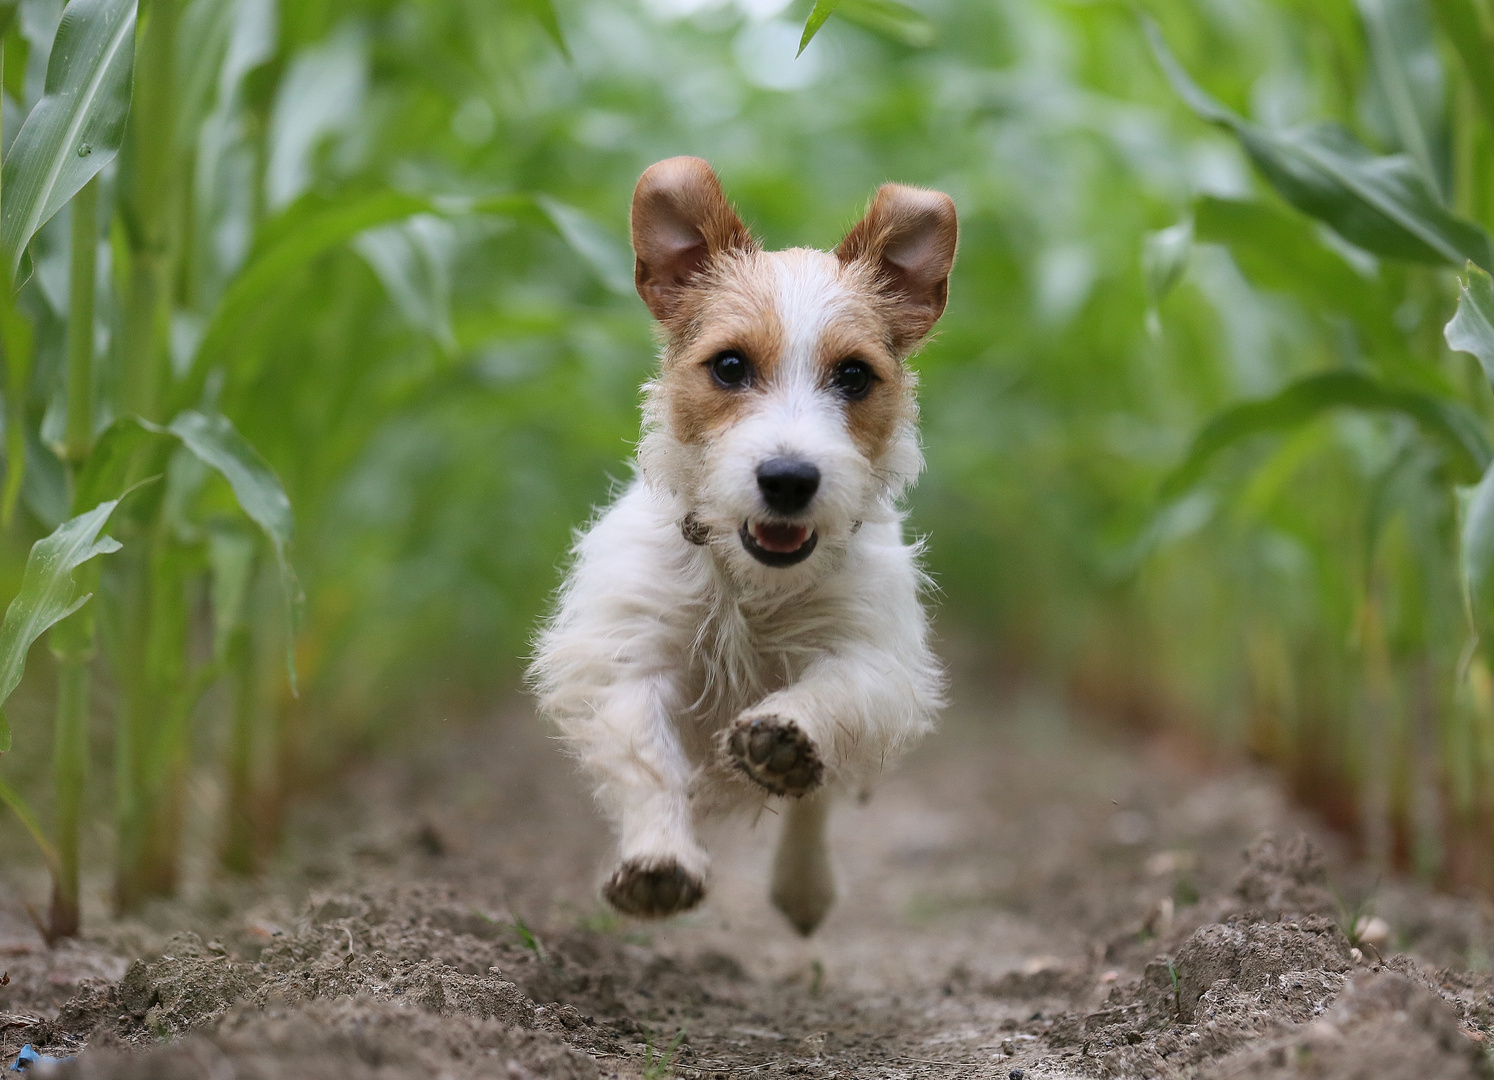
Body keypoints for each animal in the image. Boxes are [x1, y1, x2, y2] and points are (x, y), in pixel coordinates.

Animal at [534, 153, 956, 938]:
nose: (788, 478)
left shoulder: (873, 657)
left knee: (815, 802)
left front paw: (787, 731)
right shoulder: (627, 661)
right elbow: (647, 764)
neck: (747, 584)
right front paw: (659, 860)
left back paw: (803, 883)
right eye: (730, 367)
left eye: (854, 375)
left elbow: (831, 696)